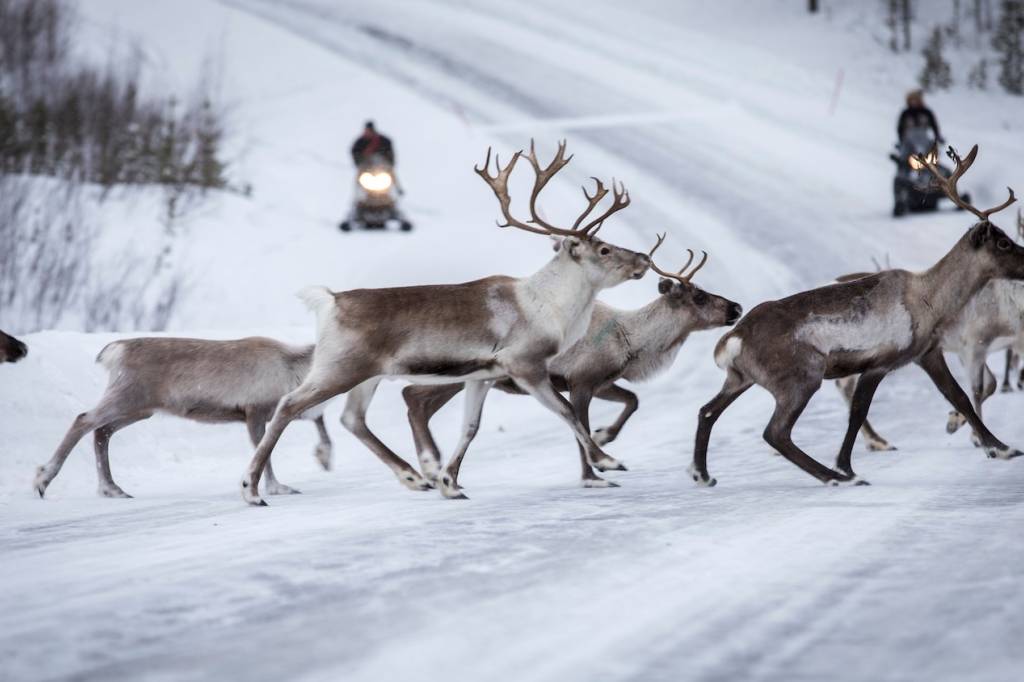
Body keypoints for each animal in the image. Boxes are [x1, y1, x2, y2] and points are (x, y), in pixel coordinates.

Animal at [33, 337, 334, 499]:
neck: (292, 368)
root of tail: (114, 351)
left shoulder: (281, 410)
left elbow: (318, 421)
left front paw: (324, 457)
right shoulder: (255, 411)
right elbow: (266, 450)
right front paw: (278, 488)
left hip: (141, 409)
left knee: (102, 431)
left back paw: (112, 489)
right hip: (126, 397)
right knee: (84, 419)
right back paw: (42, 480)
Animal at [239, 140, 654, 505]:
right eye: (604, 249)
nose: (644, 259)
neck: (549, 306)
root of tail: (330, 300)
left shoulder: (484, 374)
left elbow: (471, 427)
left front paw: (450, 484)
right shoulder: (524, 363)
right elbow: (567, 410)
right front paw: (607, 460)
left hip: (367, 375)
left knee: (352, 418)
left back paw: (412, 476)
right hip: (339, 367)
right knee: (289, 406)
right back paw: (251, 490)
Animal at [399, 238, 742, 491]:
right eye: (699, 296)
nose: (736, 307)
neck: (631, 341)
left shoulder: (602, 382)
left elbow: (632, 400)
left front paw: (604, 437)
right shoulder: (581, 381)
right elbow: (581, 424)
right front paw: (593, 473)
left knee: (414, 397)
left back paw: (441, 473)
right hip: (457, 374)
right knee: (413, 395)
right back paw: (433, 470)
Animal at [692, 144, 1022, 488]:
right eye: (1003, 242)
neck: (931, 300)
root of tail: (733, 339)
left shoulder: (927, 353)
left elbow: (958, 397)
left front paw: (1001, 447)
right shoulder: (879, 363)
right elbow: (858, 412)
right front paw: (846, 467)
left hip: (739, 378)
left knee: (707, 411)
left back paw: (702, 474)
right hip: (801, 379)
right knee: (776, 432)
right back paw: (834, 477)